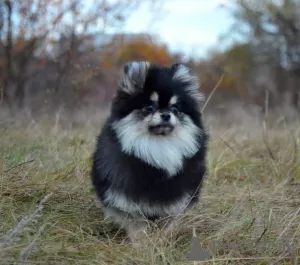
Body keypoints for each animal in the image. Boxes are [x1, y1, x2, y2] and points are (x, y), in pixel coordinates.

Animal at [91, 61, 209, 241]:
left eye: (175, 108)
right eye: (150, 106)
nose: (166, 114)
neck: (157, 145)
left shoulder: (176, 197)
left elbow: (169, 219)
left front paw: (164, 238)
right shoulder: (127, 197)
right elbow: (137, 223)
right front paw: (142, 243)